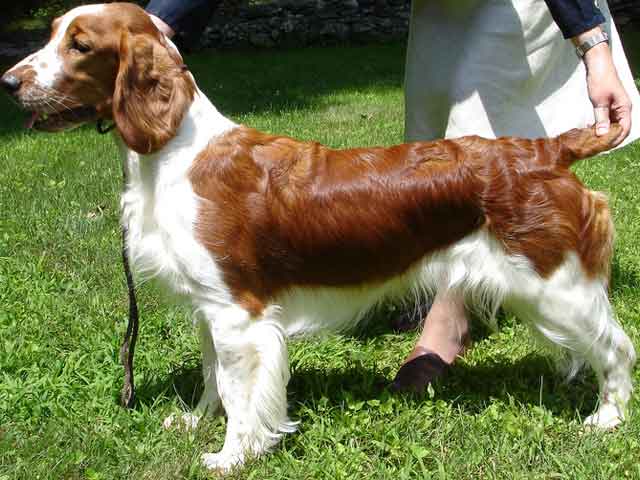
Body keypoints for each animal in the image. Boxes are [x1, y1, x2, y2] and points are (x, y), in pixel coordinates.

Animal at [2, 1, 636, 470]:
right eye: (52, 33)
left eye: (80, 46)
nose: (8, 81)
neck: (177, 151)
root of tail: (546, 150)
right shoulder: (211, 305)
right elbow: (212, 378)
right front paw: (195, 422)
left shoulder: (240, 312)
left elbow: (237, 388)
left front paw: (232, 455)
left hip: (556, 283)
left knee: (618, 347)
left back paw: (606, 419)